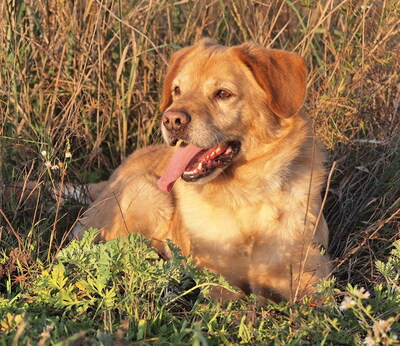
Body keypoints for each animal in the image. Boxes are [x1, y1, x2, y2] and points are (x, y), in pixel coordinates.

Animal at [72, 38, 332, 302]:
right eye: (177, 90)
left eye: (223, 94)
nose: (171, 120)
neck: (244, 197)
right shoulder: (216, 280)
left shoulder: (311, 279)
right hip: (147, 195)